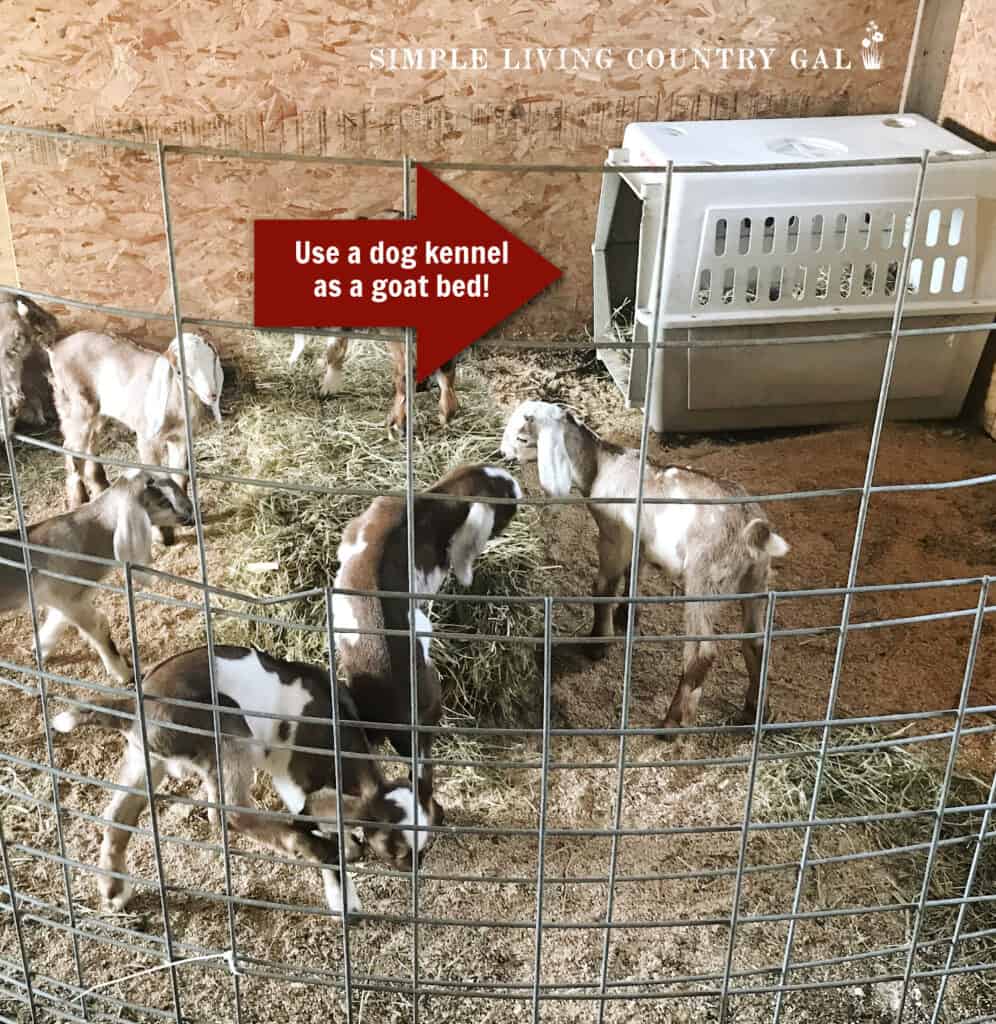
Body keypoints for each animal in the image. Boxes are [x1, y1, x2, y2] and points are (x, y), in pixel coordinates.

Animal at [46, 331, 223, 512]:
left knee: (89, 445)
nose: (212, 395)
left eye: (212, 360)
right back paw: (78, 501)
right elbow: (161, 476)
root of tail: (56, 348)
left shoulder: (181, 438)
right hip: (77, 405)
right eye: (179, 372)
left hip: (96, 412)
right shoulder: (147, 440)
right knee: (72, 451)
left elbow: (179, 475)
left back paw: (100, 487)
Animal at [48, 643, 434, 917]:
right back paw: (307, 846)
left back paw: (114, 890)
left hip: (146, 759)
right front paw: (343, 894)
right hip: (228, 730)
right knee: (227, 814)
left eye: (423, 851)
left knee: (117, 816)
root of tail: (131, 709)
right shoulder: (295, 779)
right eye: (396, 852)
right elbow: (319, 818)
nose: (414, 870)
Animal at [501, 399, 790, 729]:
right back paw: (754, 711)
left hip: (706, 578)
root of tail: (751, 526)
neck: (600, 465)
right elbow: (633, 574)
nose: (502, 455)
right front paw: (627, 616)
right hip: (756, 579)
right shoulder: (637, 539)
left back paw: (671, 724)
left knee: (702, 652)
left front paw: (598, 643)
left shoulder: (613, 536)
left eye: (522, 437)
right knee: (757, 642)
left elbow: (603, 586)